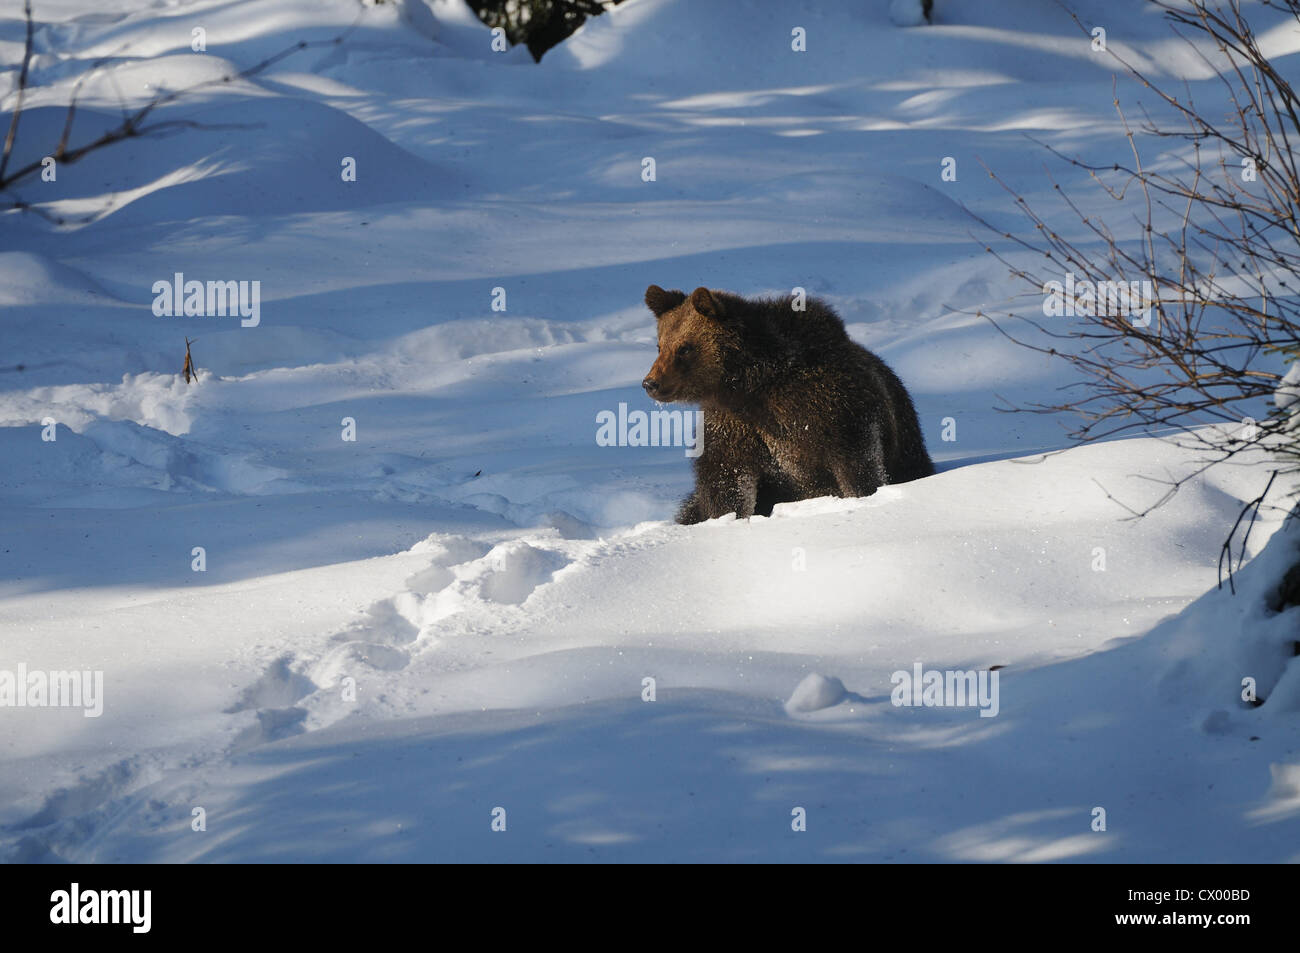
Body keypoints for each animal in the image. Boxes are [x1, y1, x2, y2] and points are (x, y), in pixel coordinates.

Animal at [642, 284, 934, 524]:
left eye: (685, 348)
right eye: (660, 345)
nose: (650, 383)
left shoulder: (832, 407)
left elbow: (857, 463)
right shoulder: (734, 425)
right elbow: (725, 478)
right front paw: (725, 518)